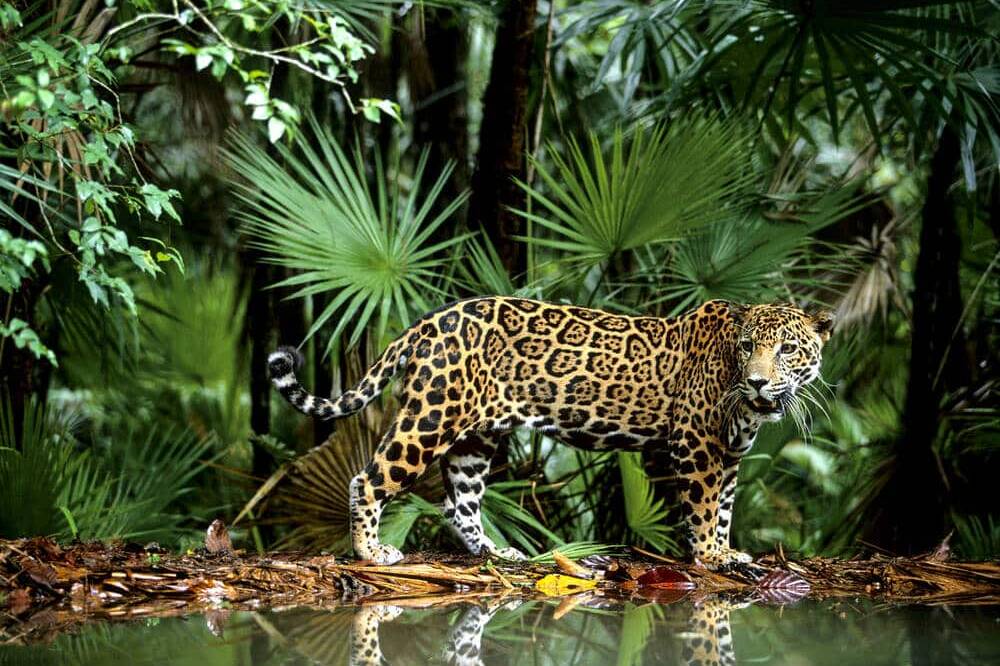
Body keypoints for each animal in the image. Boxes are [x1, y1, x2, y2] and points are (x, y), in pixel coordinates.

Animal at [268, 297, 833, 569]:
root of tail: (431, 320)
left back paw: (496, 554)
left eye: (786, 349)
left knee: (459, 503)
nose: (757, 381)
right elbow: (703, 508)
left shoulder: (730, 455)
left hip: (476, 438)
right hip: (432, 417)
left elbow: (725, 509)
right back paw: (371, 552)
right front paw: (713, 558)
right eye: (747, 346)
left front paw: (726, 549)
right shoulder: (697, 446)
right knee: (368, 479)